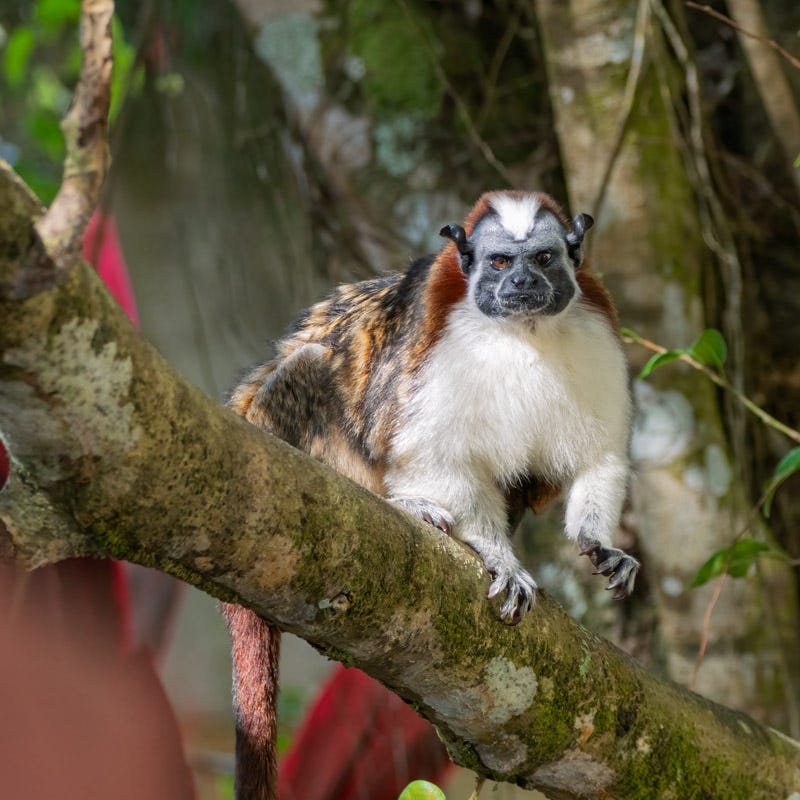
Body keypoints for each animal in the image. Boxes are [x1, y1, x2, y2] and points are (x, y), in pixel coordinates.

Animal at [222, 190, 640, 800]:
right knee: (311, 366)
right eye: (499, 262)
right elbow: (438, 454)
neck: (526, 333)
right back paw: (405, 505)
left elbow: (598, 459)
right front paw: (497, 556)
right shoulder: (441, 349)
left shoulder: (596, 331)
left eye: (541, 259)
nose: (520, 283)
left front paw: (600, 544)